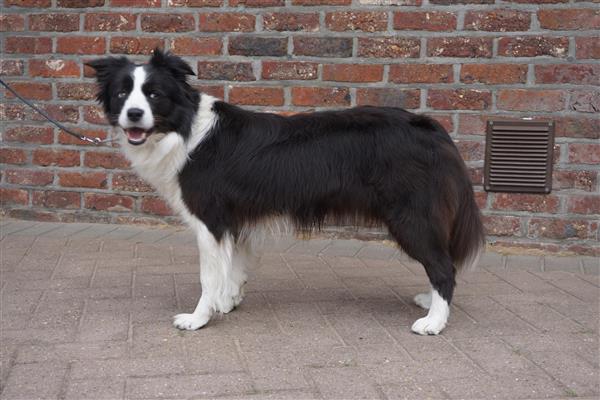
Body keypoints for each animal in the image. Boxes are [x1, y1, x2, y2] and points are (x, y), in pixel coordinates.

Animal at [86, 50, 486, 338]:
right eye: (122, 93)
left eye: (154, 95)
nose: (133, 115)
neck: (183, 130)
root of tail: (430, 126)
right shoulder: (235, 220)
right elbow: (235, 267)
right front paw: (228, 302)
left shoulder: (210, 220)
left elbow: (209, 276)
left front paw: (200, 317)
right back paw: (429, 302)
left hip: (410, 216)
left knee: (443, 266)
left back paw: (435, 321)